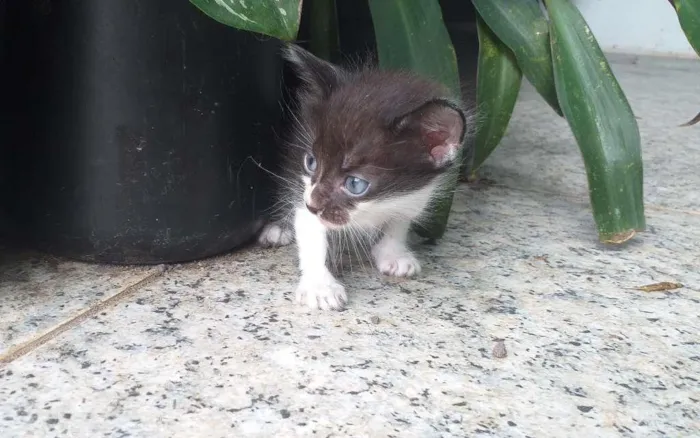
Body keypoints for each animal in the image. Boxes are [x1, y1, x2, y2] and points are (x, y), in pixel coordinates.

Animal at [258, 43, 470, 312]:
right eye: (311, 162)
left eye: (355, 184)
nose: (313, 205)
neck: (380, 204)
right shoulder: (304, 183)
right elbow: (310, 231)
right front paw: (320, 285)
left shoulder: (416, 194)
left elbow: (399, 221)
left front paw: (393, 253)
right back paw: (280, 227)